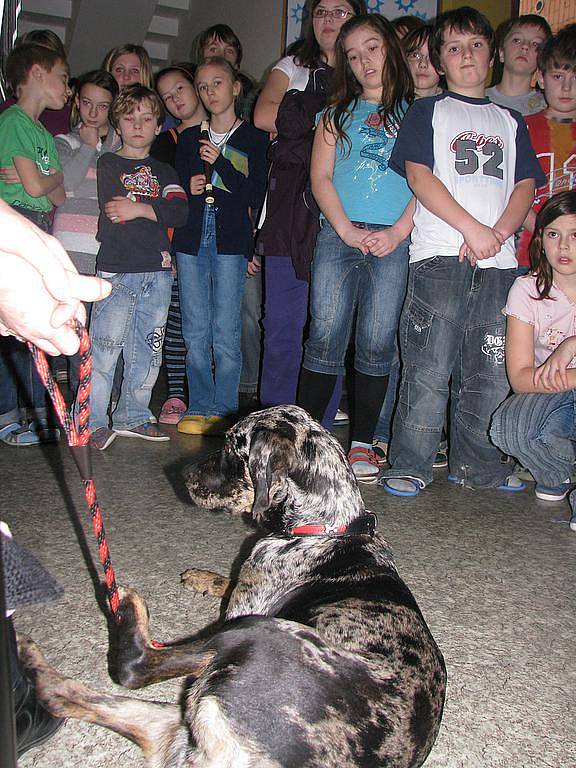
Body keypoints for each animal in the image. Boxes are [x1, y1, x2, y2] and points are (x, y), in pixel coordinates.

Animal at [16, 404, 446, 764]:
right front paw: (204, 577)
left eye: (229, 446)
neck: (328, 525)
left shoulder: (244, 607)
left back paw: (125, 606)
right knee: (63, 694)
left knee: (134, 665)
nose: (183, 475)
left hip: (253, 632)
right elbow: (230, 577)